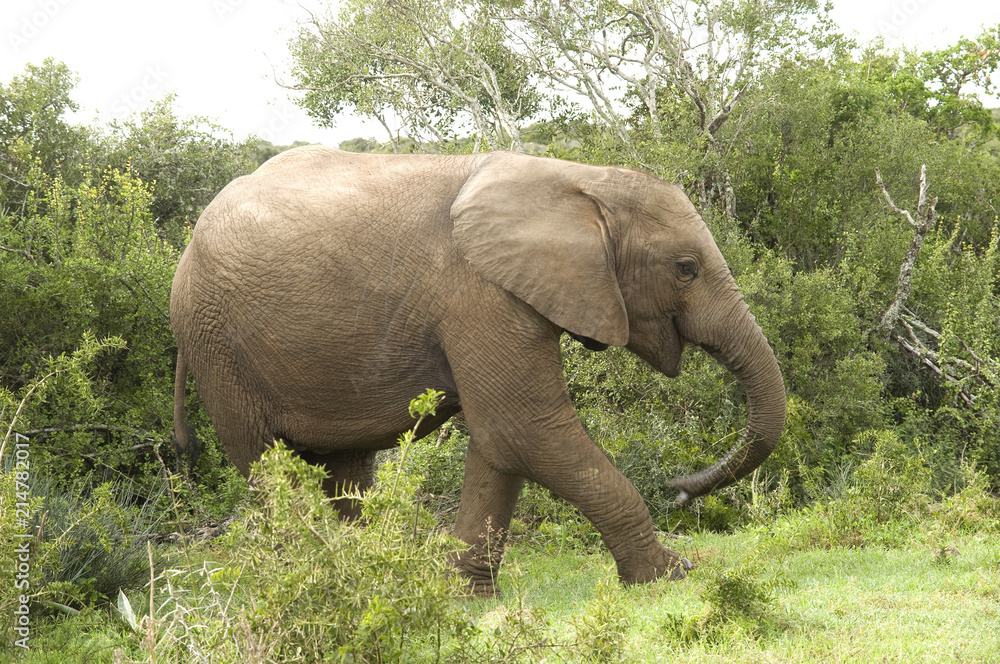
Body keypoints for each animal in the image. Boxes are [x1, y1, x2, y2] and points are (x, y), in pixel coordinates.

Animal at [170, 148, 780, 592]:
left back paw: (365, 574)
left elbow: (501, 446)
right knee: (266, 464)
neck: (574, 179)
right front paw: (670, 575)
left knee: (346, 471)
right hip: (215, 342)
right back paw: (321, 577)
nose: (678, 489)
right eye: (686, 269)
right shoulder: (481, 295)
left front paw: (466, 595)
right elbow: (526, 430)